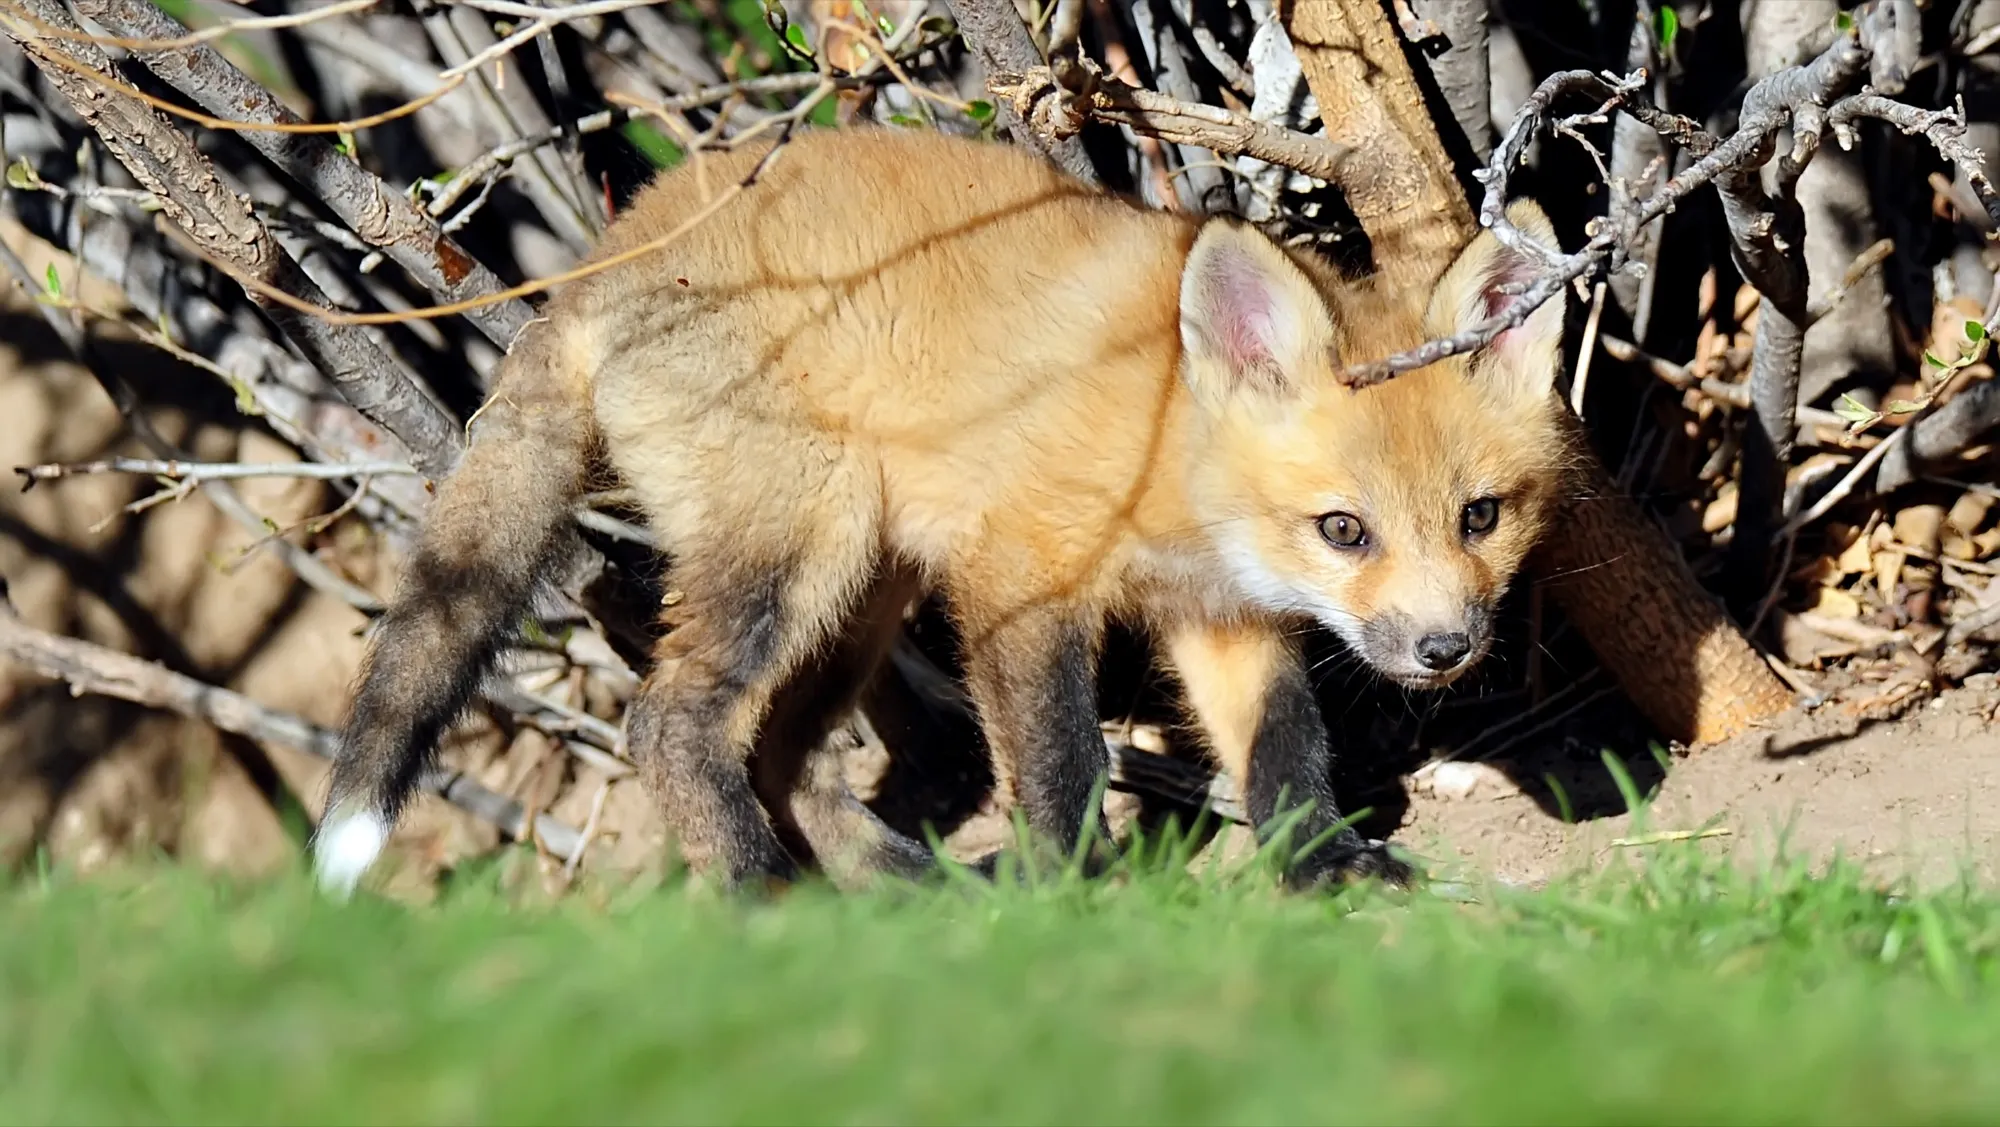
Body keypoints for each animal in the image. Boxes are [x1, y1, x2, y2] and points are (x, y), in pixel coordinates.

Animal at [310, 126, 1574, 897]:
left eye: (1479, 516)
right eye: (1344, 529)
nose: (1444, 649)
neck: (1169, 435)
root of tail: (605, 256)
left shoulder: (1227, 617)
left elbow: (1286, 751)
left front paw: (1323, 871)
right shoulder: (1017, 578)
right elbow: (1063, 760)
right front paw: (1070, 897)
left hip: (861, 588)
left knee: (783, 753)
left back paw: (909, 896)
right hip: (801, 548)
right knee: (665, 723)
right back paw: (763, 897)